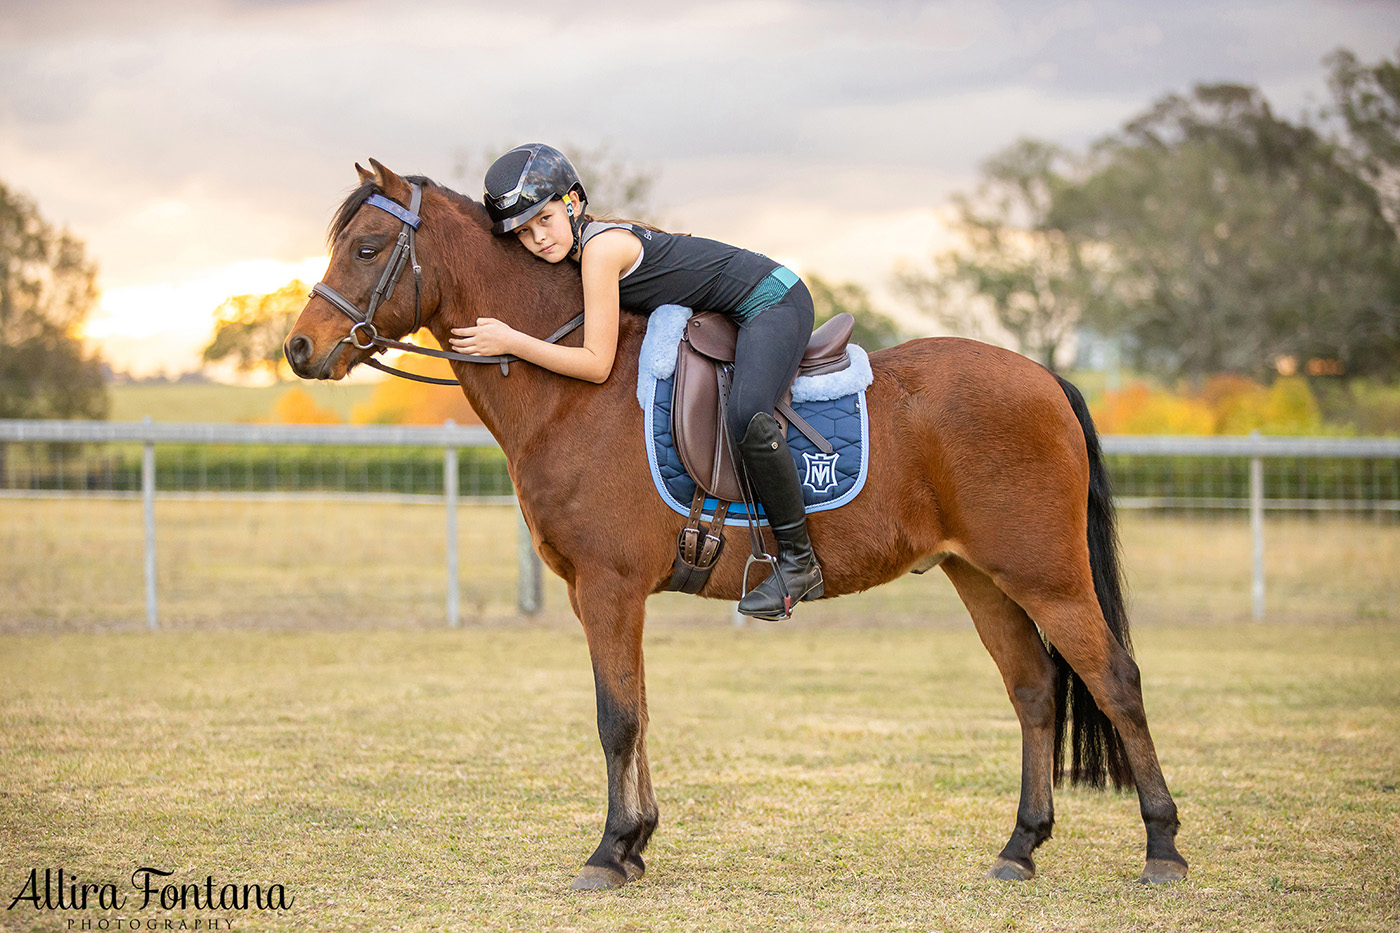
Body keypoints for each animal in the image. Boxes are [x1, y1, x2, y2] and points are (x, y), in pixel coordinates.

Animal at [289, 159, 1187, 885]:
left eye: (367, 248)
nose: (298, 348)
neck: (575, 384)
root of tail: (1044, 377)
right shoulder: (602, 595)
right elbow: (638, 709)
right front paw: (637, 842)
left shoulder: (609, 587)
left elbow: (615, 717)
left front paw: (608, 851)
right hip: (982, 575)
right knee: (1034, 691)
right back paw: (1020, 847)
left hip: (1047, 574)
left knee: (1115, 680)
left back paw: (1163, 848)